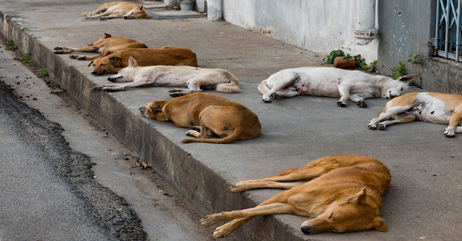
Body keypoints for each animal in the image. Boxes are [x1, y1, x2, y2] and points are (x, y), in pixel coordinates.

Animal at [92, 56, 240, 97]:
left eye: (119, 71)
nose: (108, 77)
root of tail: (226, 72)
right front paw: (102, 85)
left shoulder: (144, 79)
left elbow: (123, 85)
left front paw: (109, 88)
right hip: (194, 82)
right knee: (197, 90)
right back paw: (177, 91)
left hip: (194, 80)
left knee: (197, 90)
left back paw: (177, 93)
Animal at [200, 154, 392, 237]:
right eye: (331, 215)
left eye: (335, 230)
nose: (304, 230)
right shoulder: (282, 199)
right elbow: (244, 213)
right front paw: (218, 224)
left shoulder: (286, 205)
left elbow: (251, 213)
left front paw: (223, 227)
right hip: (315, 171)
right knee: (281, 177)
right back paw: (242, 184)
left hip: (308, 180)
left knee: (280, 183)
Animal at [258, 66, 416, 107]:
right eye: (402, 89)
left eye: (402, 94)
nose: (394, 96)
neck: (375, 84)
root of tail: (270, 77)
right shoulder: (345, 85)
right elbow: (345, 95)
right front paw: (342, 102)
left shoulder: (356, 94)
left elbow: (356, 97)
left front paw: (361, 103)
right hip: (288, 77)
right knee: (268, 93)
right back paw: (267, 98)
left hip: (292, 91)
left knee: (278, 93)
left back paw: (274, 95)